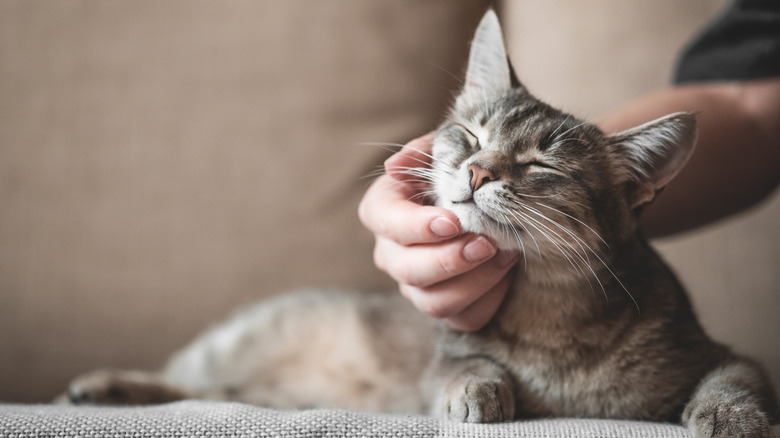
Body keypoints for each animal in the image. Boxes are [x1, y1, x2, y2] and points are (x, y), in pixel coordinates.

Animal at [64, 9, 776, 438]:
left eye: (541, 165)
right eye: (471, 135)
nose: (478, 173)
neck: (549, 319)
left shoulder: (723, 354)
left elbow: (737, 379)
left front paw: (730, 417)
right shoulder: (446, 354)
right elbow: (464, 365)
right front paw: (478, 389)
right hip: (234, 344)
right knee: (191, 381)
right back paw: (103, 385)